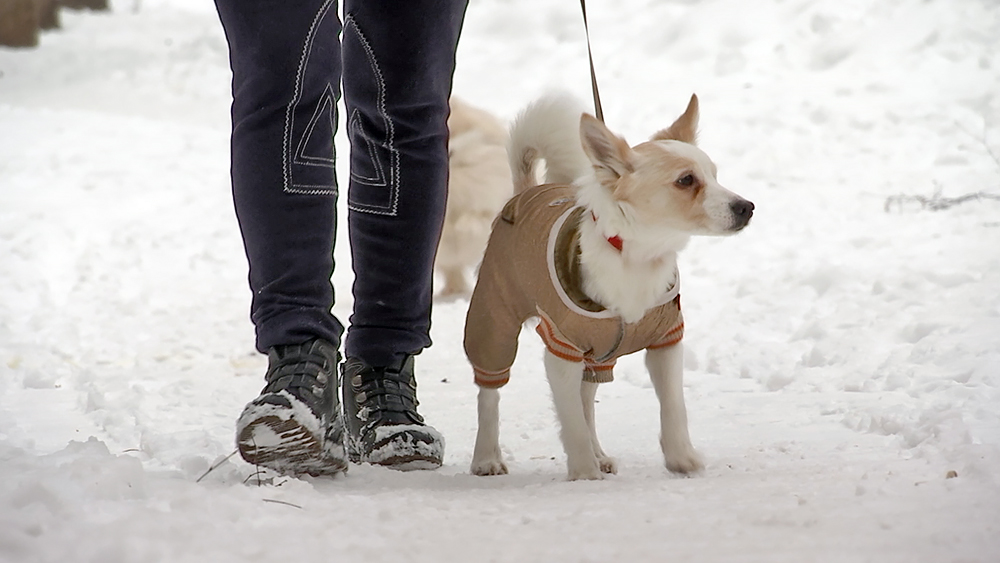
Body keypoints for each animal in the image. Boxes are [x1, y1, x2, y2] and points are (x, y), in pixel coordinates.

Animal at [460, 92, 752, 480]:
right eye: (686, 180)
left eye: (714, 175)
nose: (747, 207)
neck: (636, 258)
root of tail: (527, 191)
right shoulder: (561, 348)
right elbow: (570, 421)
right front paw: (584, 472)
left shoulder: (666, 340)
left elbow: (673, 406)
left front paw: (681, 458)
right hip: (495, 319)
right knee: (489, 394)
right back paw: (487, 457)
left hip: (599, 353)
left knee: (587, 398)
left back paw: (599, 453)